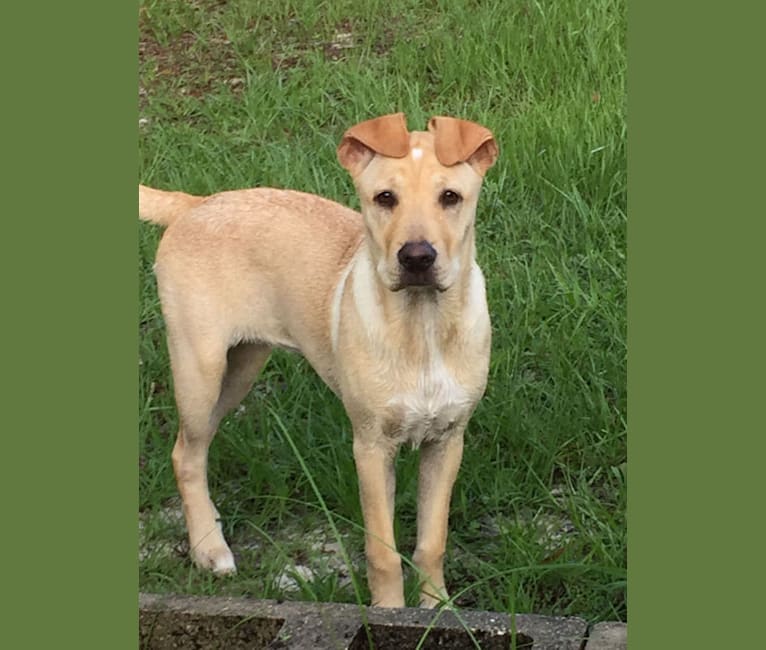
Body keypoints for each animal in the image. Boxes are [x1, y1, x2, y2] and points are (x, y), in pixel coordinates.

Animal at [139, 114, 500, 604]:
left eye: (450, 197)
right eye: (384, 198)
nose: (417, 258)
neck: (421, 327)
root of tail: (195, 204)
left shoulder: (446, 441)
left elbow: (432, 542)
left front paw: (437, 607)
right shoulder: (370, 446)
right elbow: (382, 552)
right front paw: (390, 611)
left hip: (242, 367)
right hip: (201, 369)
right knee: (186, 455)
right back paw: (209, 549)